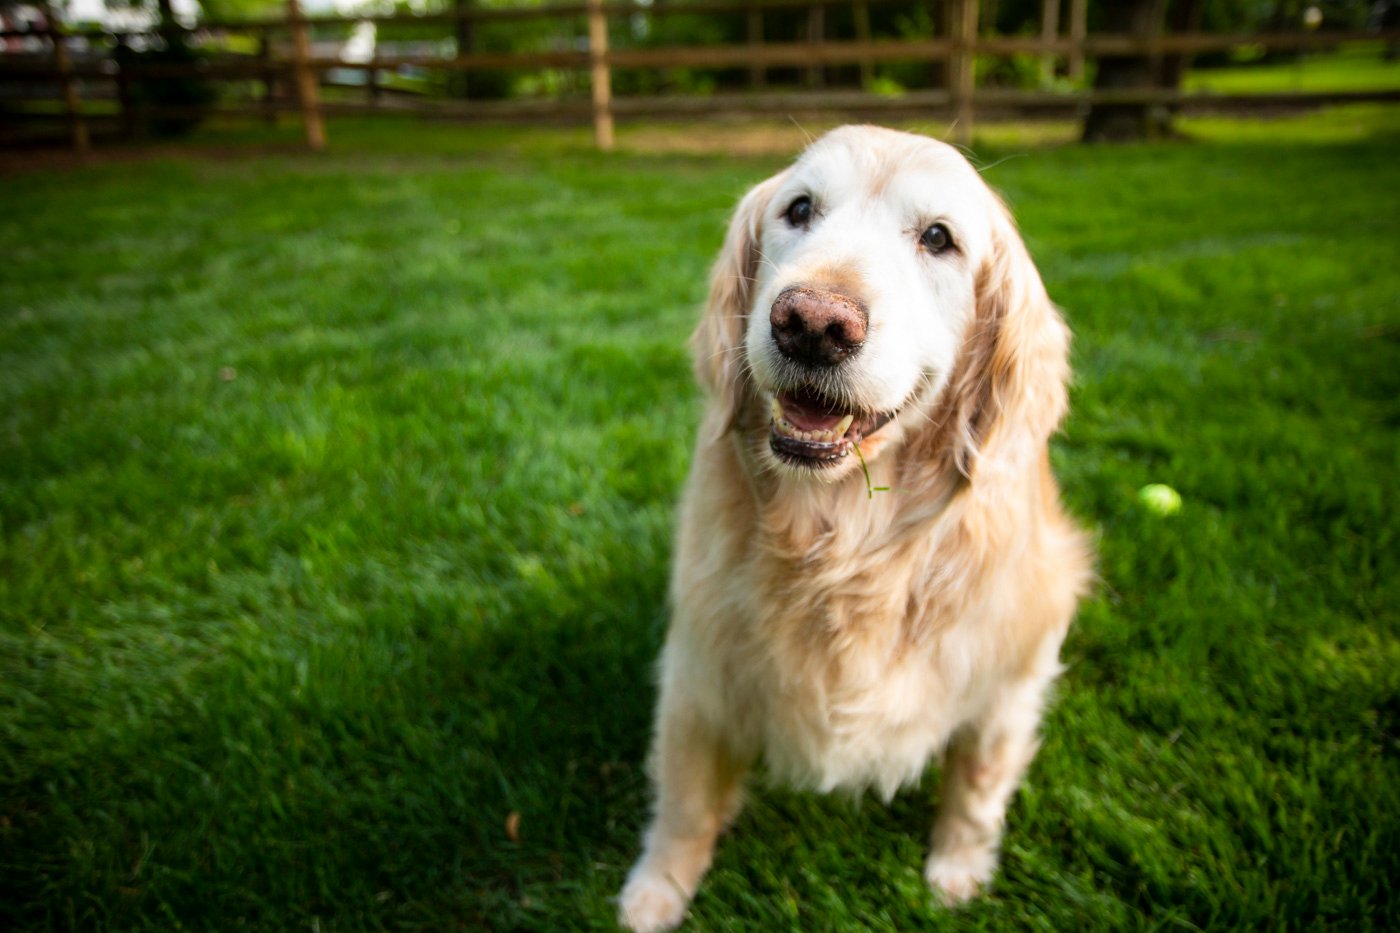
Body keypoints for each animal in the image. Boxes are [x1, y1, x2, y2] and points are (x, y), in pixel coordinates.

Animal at [621, 125, 1092, 930]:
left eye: (938, 238)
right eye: (799, 209)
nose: (812, 323)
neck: (841, 543)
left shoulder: (1011, 680)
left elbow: (976, 783)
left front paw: (957, 869)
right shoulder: (700, 668)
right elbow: (686, 796)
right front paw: (658, 887)